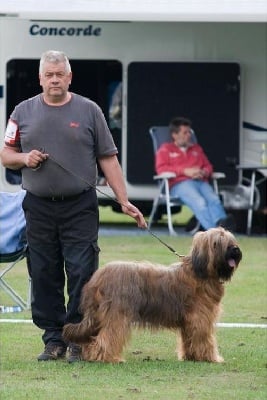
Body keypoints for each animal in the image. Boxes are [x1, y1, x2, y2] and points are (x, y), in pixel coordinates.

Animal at [64, 228, 243, 362]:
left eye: (231, 239)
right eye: (217, 243)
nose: (235, 249)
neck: (200, 272)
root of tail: (97, 278)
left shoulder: (189, 321)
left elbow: (189, 339)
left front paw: (190, 356)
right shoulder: (200, 318)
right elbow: (205, 339)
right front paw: (210, 358)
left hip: (99, 316)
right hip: (117, 315)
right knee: (108, 337)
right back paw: (107, 358)